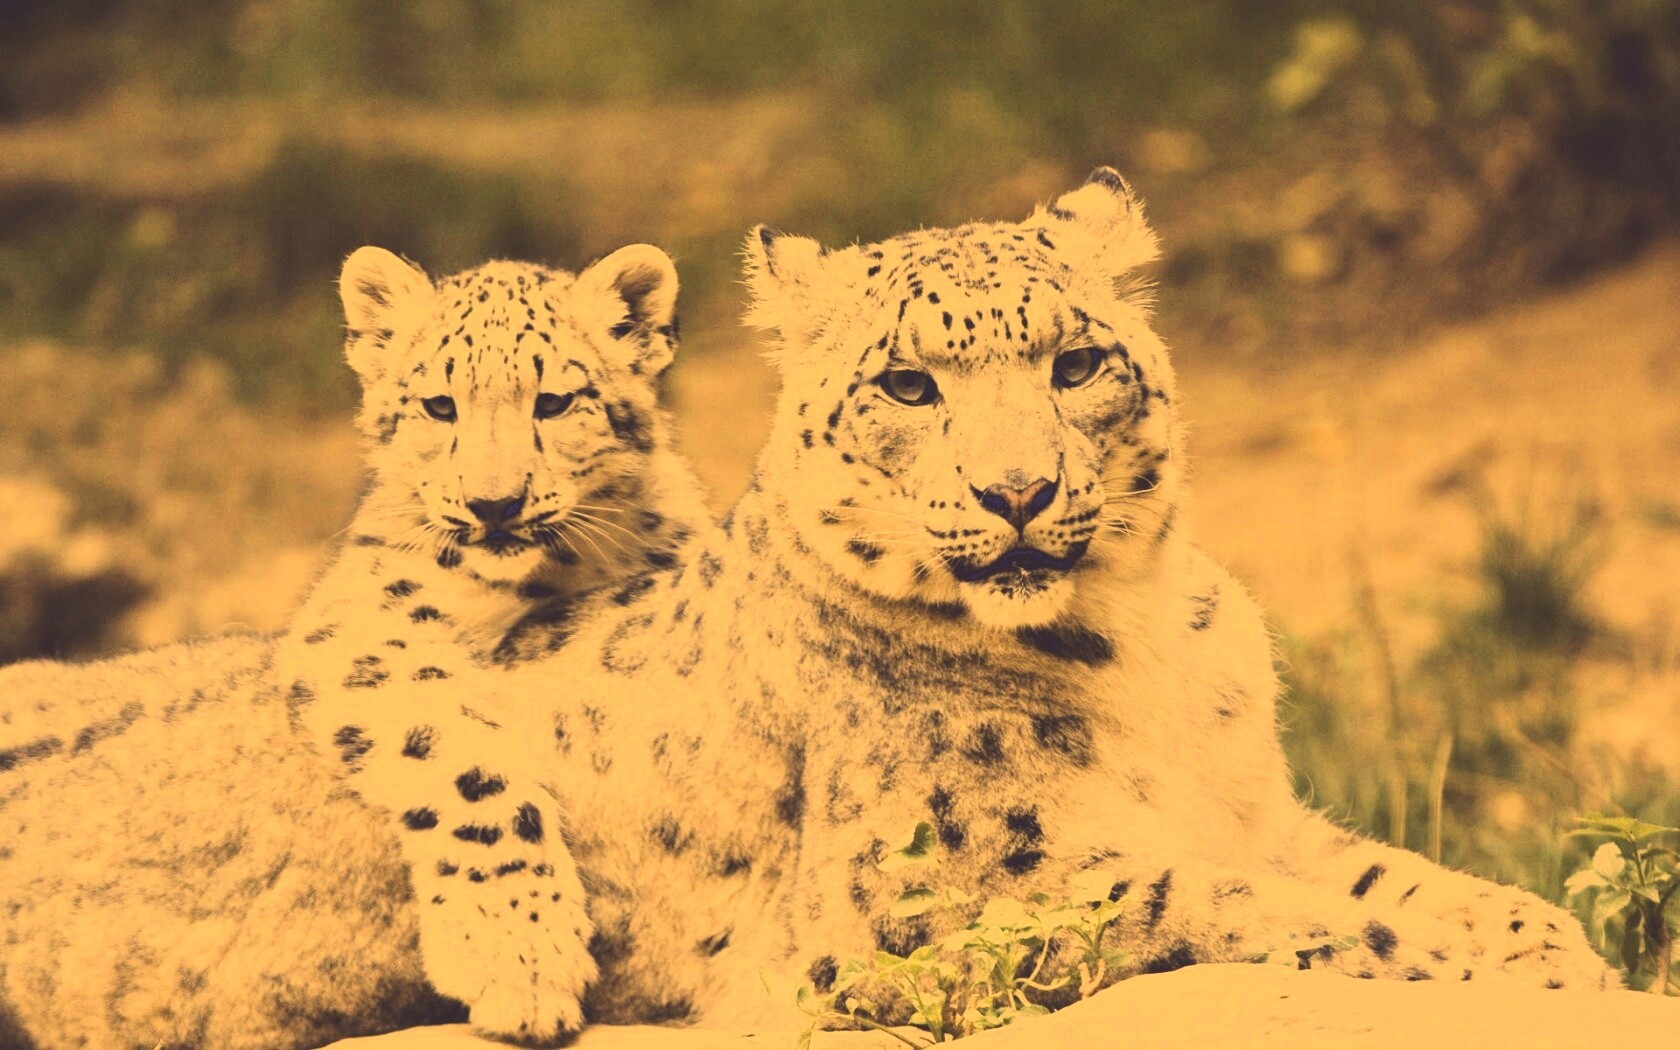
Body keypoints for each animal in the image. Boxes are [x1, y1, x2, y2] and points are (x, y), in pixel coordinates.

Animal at [0, 242, 707, 1049]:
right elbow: (466, 764)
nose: (494, 505)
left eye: (555, 401)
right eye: (439, 405)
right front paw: (518, 957)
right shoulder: (364, 622)